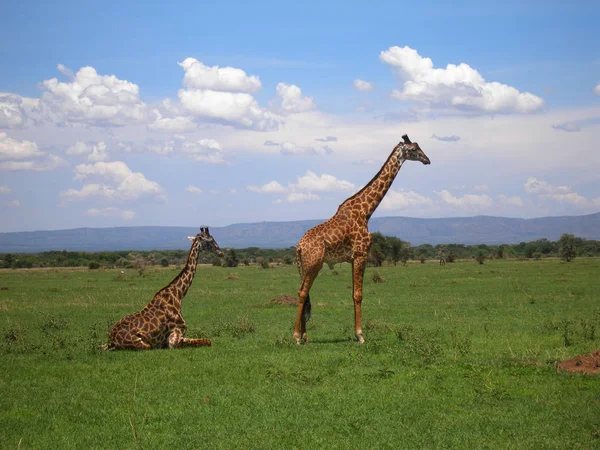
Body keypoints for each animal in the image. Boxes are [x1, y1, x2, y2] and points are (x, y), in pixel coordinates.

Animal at [292, 135, 428, 342]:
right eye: (413, 149)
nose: (427, 159)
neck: (366, 212)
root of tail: (299, 246)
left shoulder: (352, 258)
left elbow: (353, 294)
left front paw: (357, 333)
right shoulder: (361, 254)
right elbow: (358, 294)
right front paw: (360, 335)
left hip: (306, 265)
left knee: (305, 292)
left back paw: (305, 336)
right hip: (313, 263)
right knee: (302, 293)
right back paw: (296, 337)